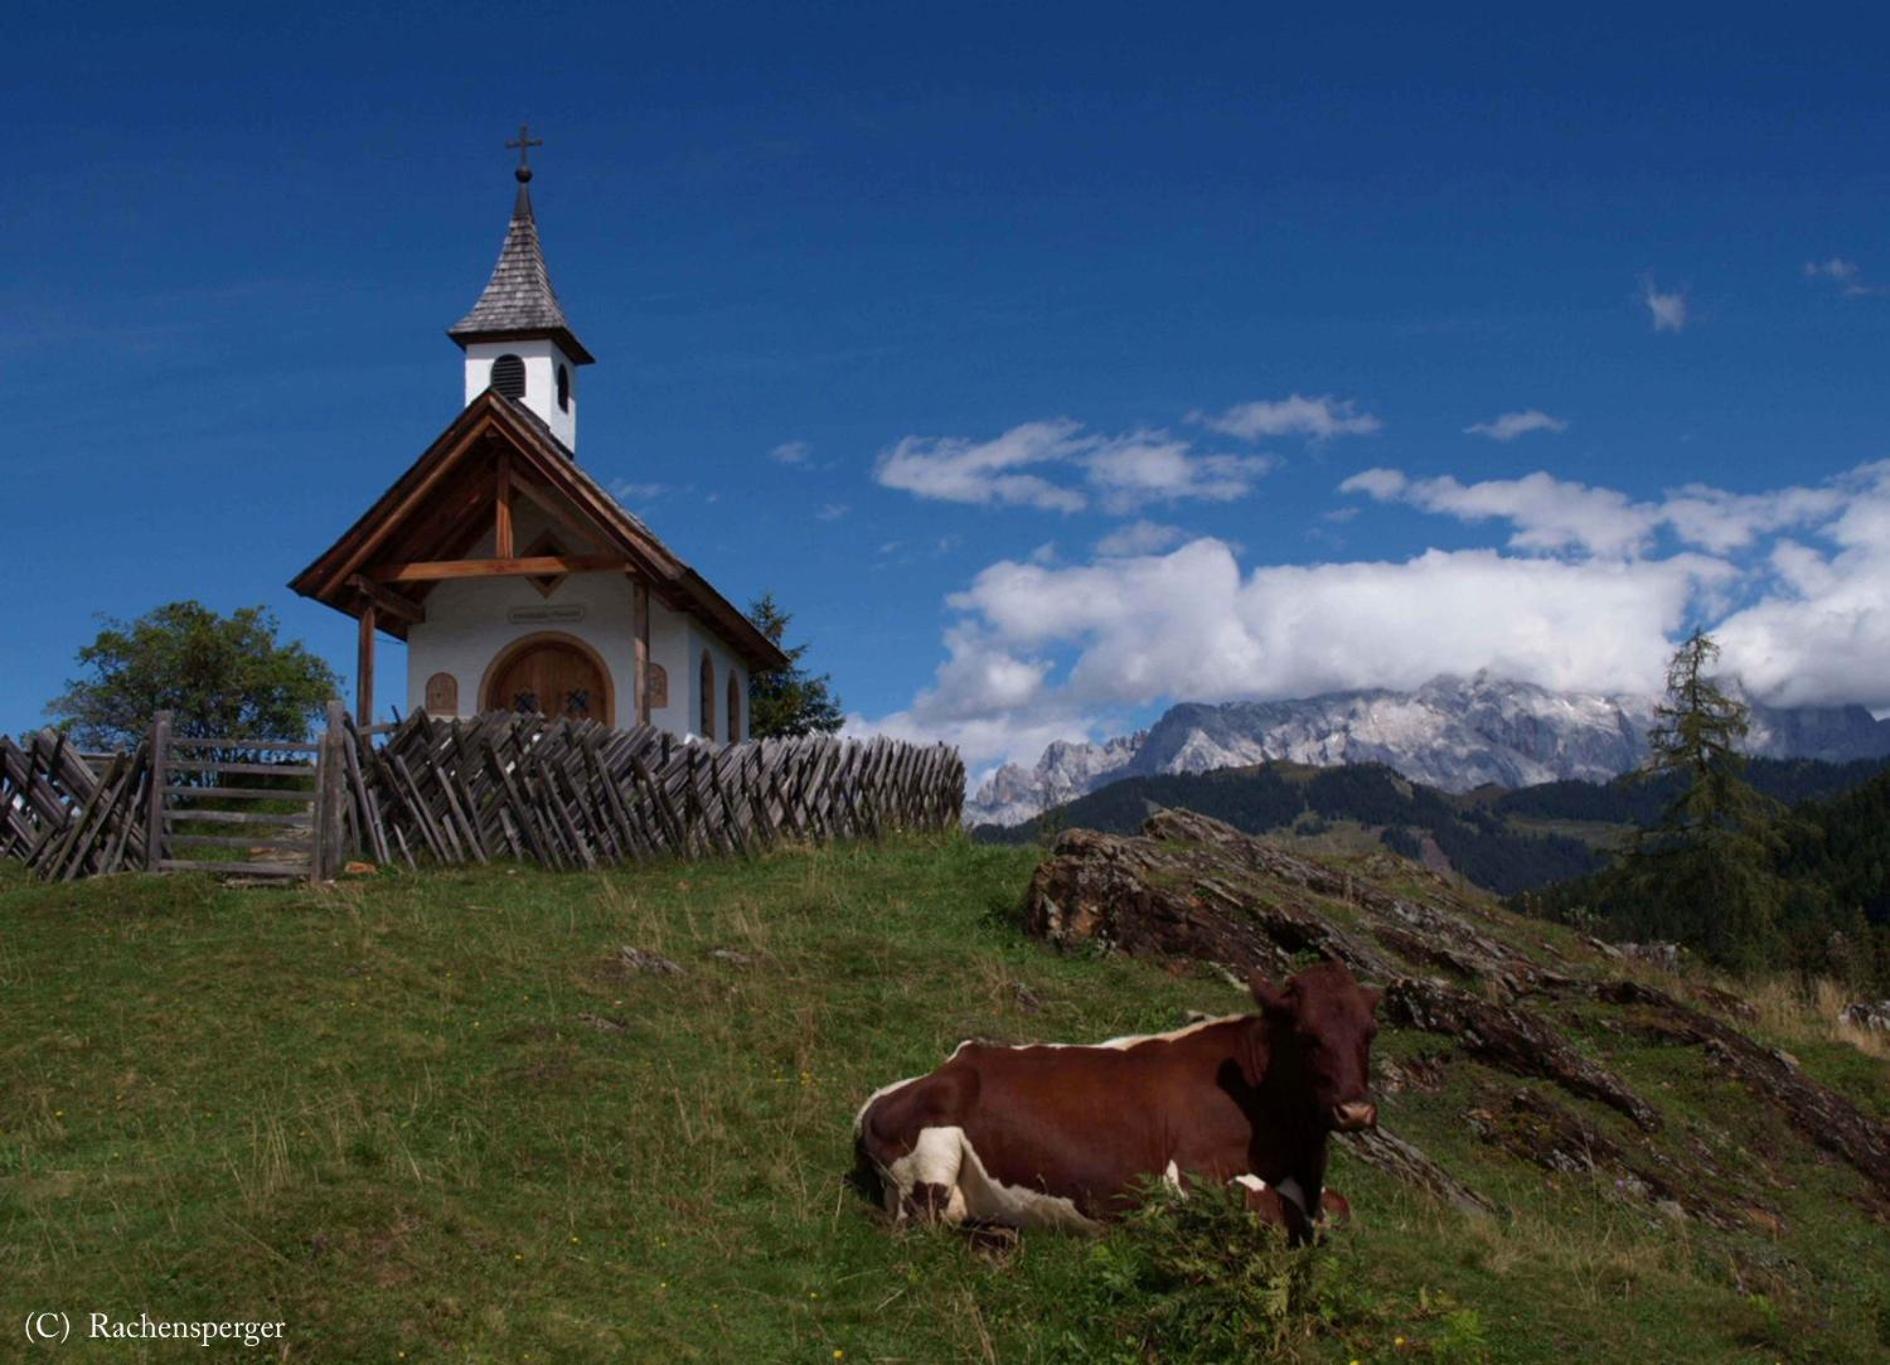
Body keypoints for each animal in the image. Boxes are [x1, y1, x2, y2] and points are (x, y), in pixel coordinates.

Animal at [854, 956, 1375, 1232]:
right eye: (1307, 1035)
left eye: (1370, 1033)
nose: (1356, 1110)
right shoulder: (1189, 1177)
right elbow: (1285, 1218)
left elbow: (1340, 1209)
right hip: (930, 1172)